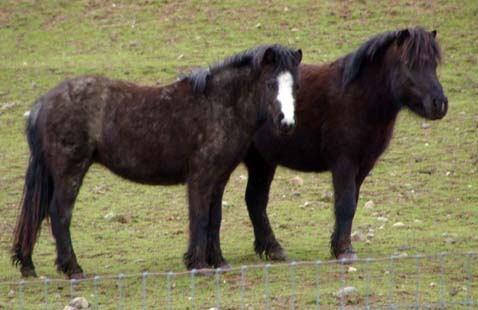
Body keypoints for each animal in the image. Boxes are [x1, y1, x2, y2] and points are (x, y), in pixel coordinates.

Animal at [13, 44, 300, 280]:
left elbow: (214, 218)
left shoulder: (219, 178)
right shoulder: (201, 177)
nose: (287, 123)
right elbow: (200, 217)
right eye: (270, 84)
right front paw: (198, 263)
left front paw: (218, 261)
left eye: (295, 86)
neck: (218, 105)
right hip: (70, 171)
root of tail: (44, 102)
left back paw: (28, 264)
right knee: (59, 213)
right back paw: (72, 268)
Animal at [245, 27, 446, 262]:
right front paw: (344, 250)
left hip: (262, 162)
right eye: (409, 63)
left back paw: (271, 248)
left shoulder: (364, 165)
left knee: (255, 200)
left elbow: (352, 203)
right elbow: (345, 204)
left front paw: (339, 246)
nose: (439, 104)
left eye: (433, 64)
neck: (358, 97)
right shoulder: (344, 163)